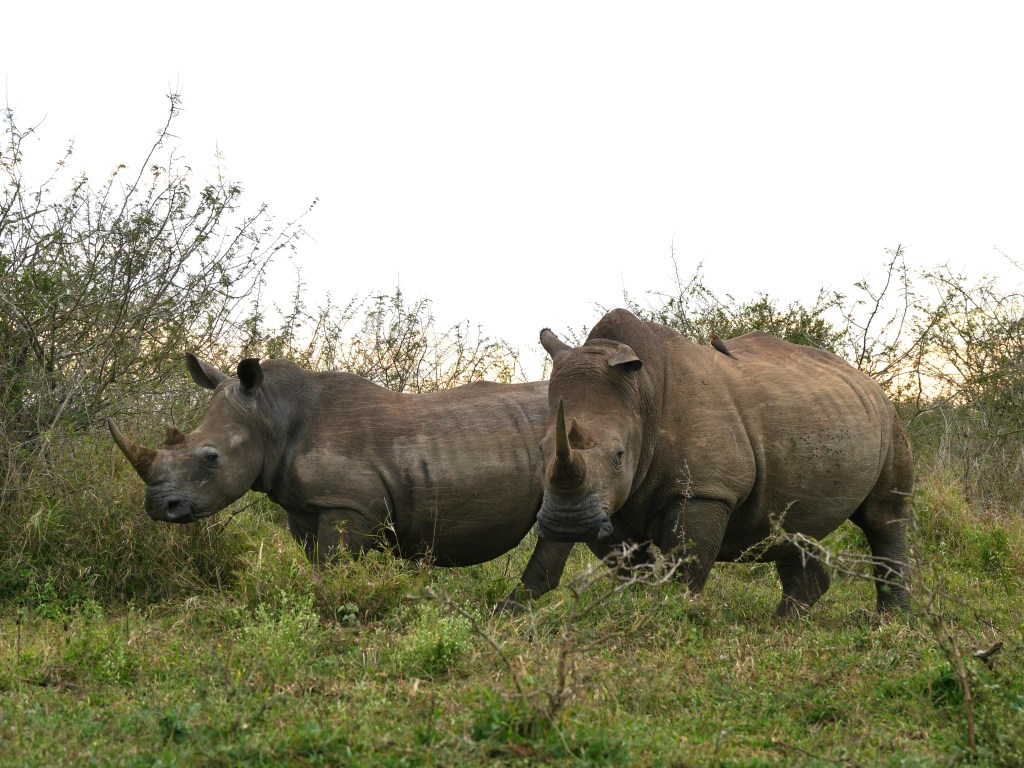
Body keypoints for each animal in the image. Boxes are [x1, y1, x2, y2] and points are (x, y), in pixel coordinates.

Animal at [109, 354, 578, 606]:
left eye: (211, 458)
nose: (159, 507)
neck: (271, 415)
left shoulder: (346, 503)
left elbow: (334, 568)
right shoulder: (305, 505)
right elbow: (318, 564)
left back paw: (505, 613)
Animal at [535, 308, 914, 617]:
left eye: (618, 455)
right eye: (540, 450)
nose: (567, 523)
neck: (642, 392)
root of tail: (866, 378)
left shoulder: (704, 491)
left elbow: (686, 562)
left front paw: (674, 615)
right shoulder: (607, 502)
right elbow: (630, 566)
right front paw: (638, 608)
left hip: (888, 415)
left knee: (882, 517)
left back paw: (889, 621)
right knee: (792, 518)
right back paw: (786, 621)